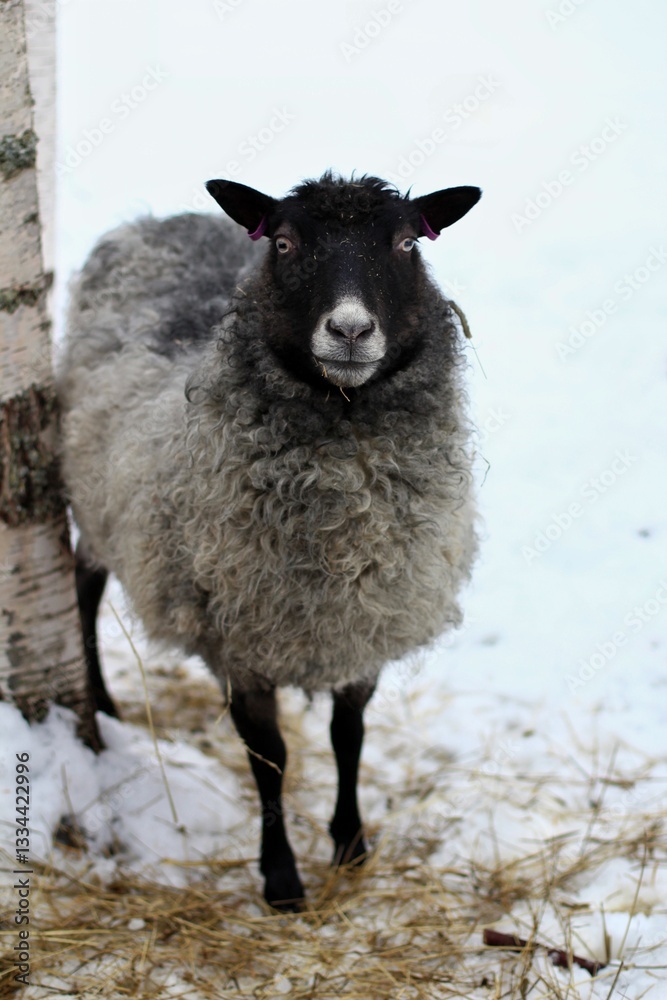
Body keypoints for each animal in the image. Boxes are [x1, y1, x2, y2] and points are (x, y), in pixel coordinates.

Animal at [57, 172, 481, 910]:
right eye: (283, 242)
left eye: (407, 243)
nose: (349, 329)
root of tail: (156, 220)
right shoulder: (237, 640)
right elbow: (270, 759)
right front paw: (281, 878)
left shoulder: (363, 624)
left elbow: (348, 737)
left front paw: (350, 846)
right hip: (97, 494)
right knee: (85, 579)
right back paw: (103, 703)